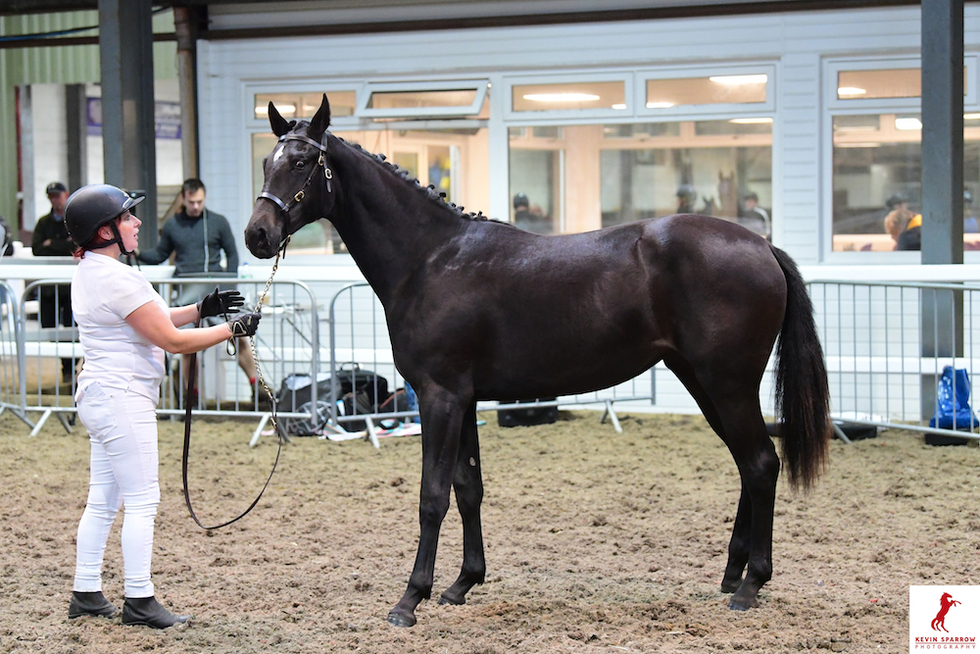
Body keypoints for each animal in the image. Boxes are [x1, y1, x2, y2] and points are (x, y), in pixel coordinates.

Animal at [245, 94, 831, 628]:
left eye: (303, 162)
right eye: (268, 160)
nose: (257, 235)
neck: (431, 259)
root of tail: (761, 245)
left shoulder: (439, 397)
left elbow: (432, 496)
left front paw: (410, 599)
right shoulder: (464, 399)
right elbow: (469, 489)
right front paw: (462, 583)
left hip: (727, 384)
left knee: (761, 464)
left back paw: (751, 585)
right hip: (703, 382)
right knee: (747, 465)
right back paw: (733, 574)